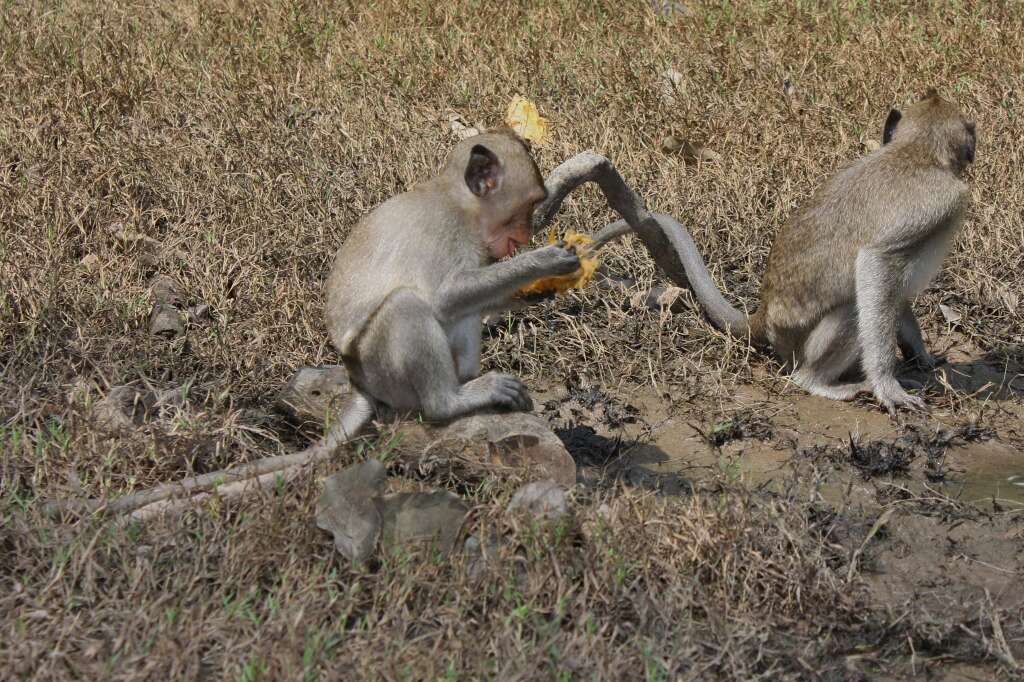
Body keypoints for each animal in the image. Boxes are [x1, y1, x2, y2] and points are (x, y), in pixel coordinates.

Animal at [663, 89, 974, 409]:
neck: (918, 151)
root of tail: (765, 316)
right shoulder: (940, 203)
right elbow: (875, 264)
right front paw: (887, 384)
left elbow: (893, 292)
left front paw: (920, 354)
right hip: (800, 351)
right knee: (852, 309)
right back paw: (816, 382)